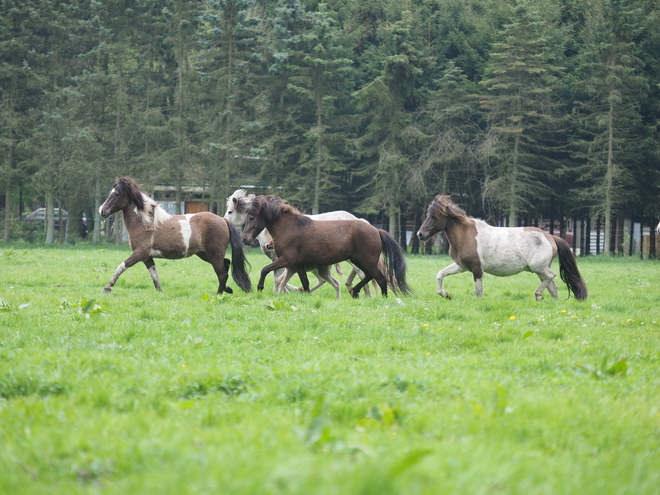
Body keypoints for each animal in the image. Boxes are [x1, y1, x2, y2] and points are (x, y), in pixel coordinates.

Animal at [98, 177, 250, 294]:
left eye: (117, 194)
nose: (102, 211)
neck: (144, 223)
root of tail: (224, 220)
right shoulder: (147, 257)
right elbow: (154, 275)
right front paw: (160, 292)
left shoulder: (140, 253)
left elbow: (121, 266)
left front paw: (107, 287)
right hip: (205, 254)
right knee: (226, 263)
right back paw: (227, 289)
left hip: (213, 254)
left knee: (222, 273)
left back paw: (219, 294)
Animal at [226, 190, 372, 298]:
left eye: (230, 211)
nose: (245, 239)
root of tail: (360, 220)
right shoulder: (291, 263)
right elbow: (283, 278)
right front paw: (287, 291)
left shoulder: (282, 259)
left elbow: (277, 278)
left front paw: (281, 291)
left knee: (361, 273)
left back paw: (366, 294)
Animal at [240, 197, 410, 298]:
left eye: (251, 217)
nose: (244, 239)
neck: (290, 228)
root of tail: (377, 230)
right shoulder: (297, 265)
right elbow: (305, 283)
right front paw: (305, 295)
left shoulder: (286, 260)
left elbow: (265, 270)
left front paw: (260, 288)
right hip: (358, 261)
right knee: (368, 276)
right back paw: (354, 291)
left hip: (366, 261)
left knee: (380, 278)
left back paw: (381, 298)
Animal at [418, 196, 588, 300]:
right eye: (427, 215)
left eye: (434, 217)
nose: (420, 234)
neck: (466, 235)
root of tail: (551, 237)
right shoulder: (461, 266)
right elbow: (440, 275)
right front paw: (445, 294)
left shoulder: (477, 268)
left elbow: (479, 291)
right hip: (540, 270)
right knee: (553, 287)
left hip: (538, 267)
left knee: (551, 277)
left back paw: (538, 294)